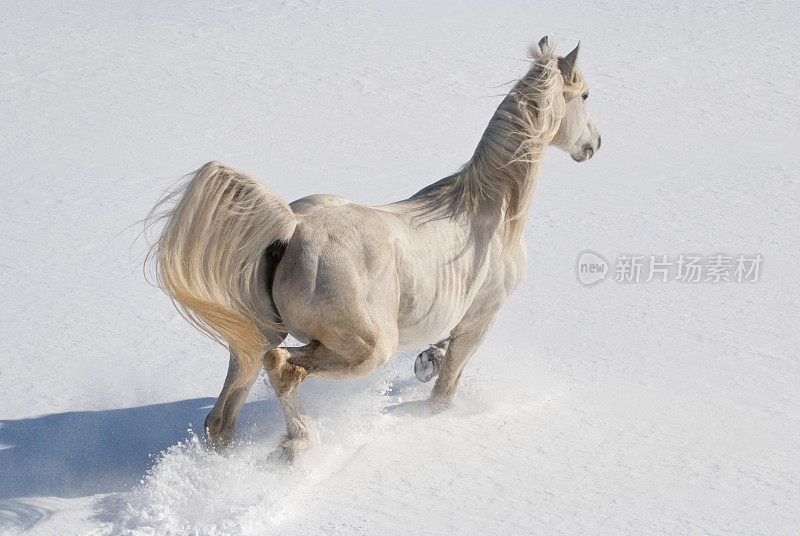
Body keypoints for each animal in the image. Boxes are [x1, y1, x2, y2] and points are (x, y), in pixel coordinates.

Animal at [147, 36, 596, 456]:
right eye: (586, 95)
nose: (594, 144)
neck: (493, 208)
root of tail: (292, 229)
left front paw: (426, 361)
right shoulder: (481, 317)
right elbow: (443, 394)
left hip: (261, 330)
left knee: (226, 410)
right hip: (366, 348)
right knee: (281, 367)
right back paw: (298, 446)